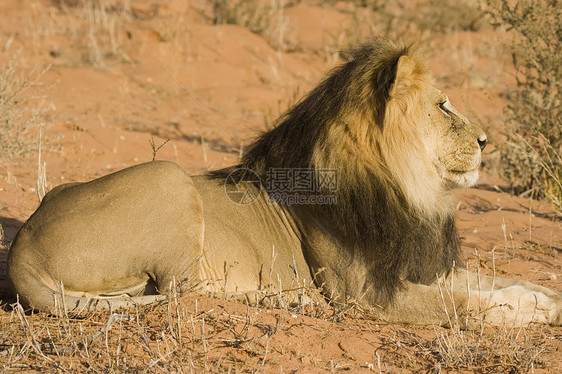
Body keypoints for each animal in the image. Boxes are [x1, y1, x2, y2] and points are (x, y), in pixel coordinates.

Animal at [5, 36, 560, 326]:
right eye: (443, 106)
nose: (488, 140)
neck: (409, 191)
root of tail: (21, 247)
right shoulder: (364, 293)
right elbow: (467, 303)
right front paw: (526, 311)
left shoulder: (412, 267)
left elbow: (492, 281)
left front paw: (544, 299)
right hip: (170, 178)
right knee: (187, 292)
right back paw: (287, 300)